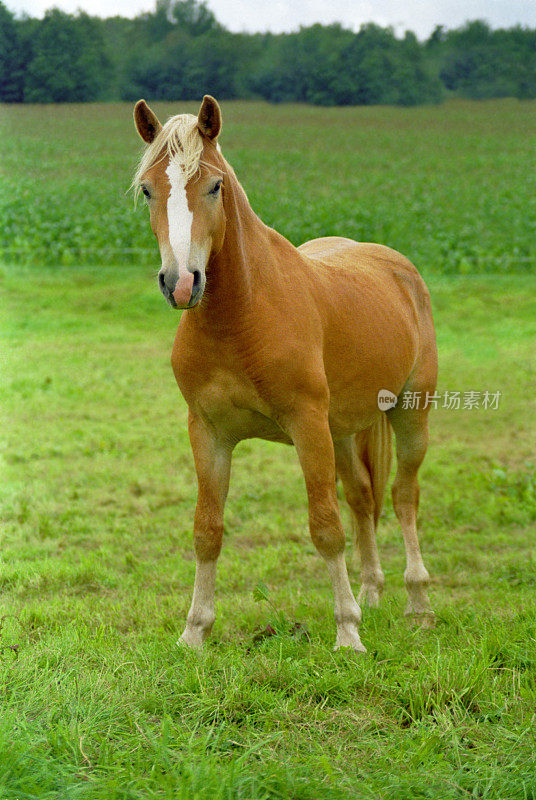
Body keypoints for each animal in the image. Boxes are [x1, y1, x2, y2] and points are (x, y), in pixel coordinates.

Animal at [132, 97, 438, 652]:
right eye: (148, 188)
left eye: (214, 185)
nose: (181, 283)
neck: (244, 315)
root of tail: (399, 268)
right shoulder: (208, 432)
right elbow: (207, 530)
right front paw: (194, 632)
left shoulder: (306, 425)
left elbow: (325, 527)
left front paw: (347, 633)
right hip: (343, 432)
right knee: (363, 497)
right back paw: (373, 593)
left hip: (410, 414)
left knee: (404, 497)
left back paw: (418, 603)